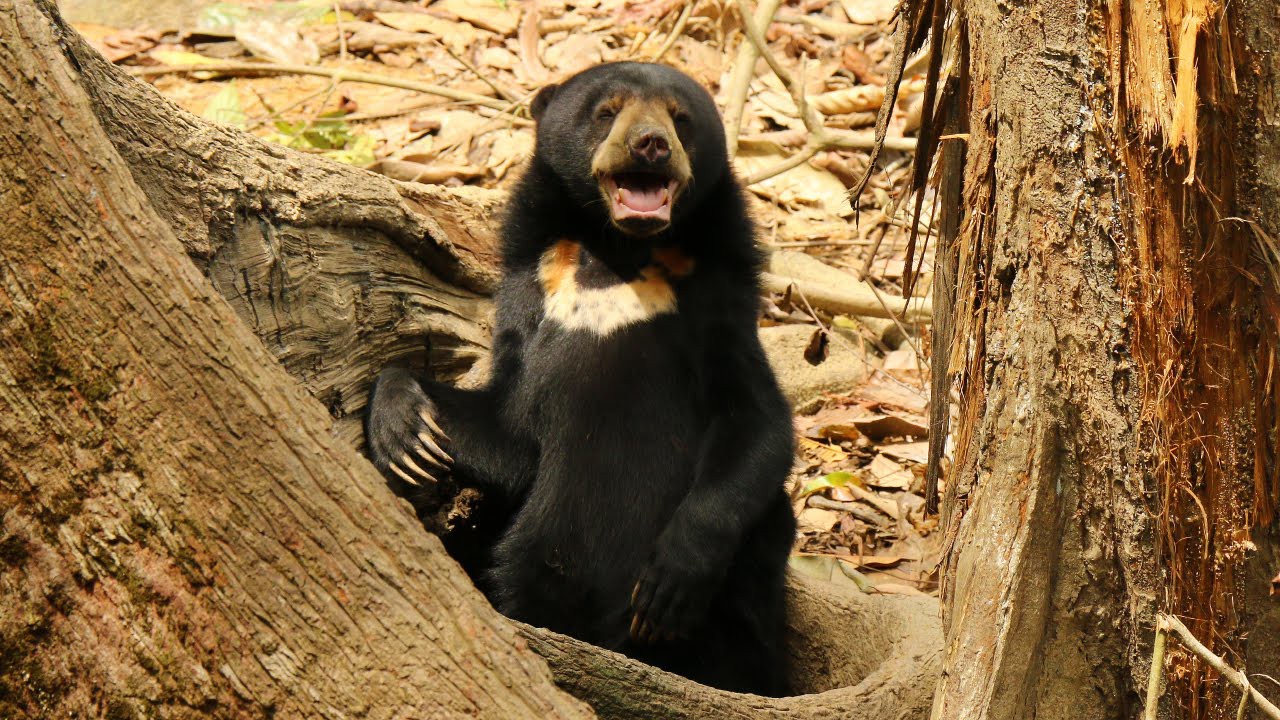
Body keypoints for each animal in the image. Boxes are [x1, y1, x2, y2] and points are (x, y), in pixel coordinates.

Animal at [365, 62, 797, 696]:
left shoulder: (718, 303)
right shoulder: (532, 291)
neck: (616, 255)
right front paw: (408, 435)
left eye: (680, 118)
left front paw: (667, 585)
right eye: (606, 112)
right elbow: (508, 430)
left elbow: (757, 422)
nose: (651, 144)